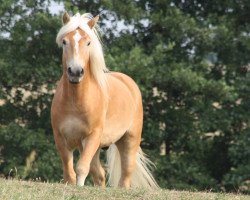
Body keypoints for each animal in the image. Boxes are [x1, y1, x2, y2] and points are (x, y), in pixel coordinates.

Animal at [50, 11, 158, 189]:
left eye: (88, 42)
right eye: (65, 42)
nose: (76, 72)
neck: (75, 101)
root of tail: (129, 83)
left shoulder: (92, 137)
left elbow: (81, 168)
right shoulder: (61, 138)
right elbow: (69, 172)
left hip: (129, 140)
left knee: (125, 176)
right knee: (99, 175)